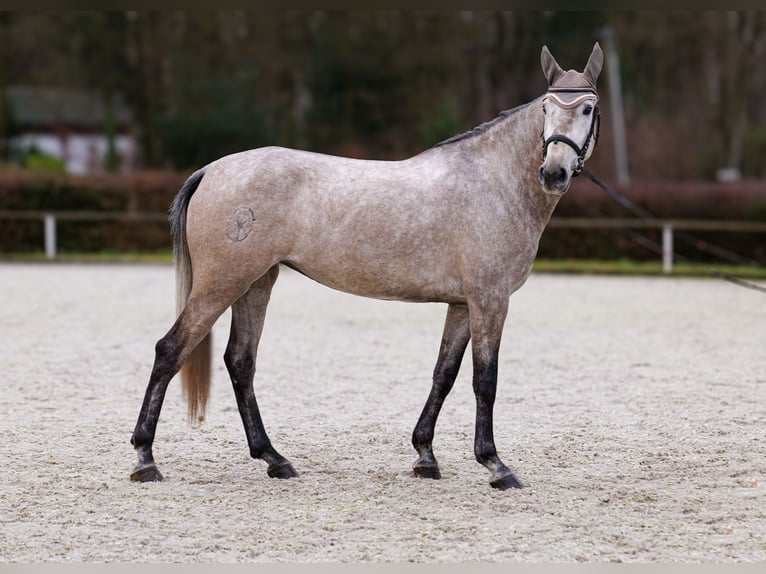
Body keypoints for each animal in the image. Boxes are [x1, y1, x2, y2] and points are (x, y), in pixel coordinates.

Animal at [132, 41, 608, 490]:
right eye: (547, 108)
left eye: (587, 108)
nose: (553, 173)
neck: (493, 182)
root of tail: (211, 171)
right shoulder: (490, 300)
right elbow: (484, 380)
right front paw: (495, 465)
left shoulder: (462, 304)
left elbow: (444, 374)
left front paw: (425, 457)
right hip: (223, 283)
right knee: (170, 350)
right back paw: (145, 459)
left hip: (256, 283)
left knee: (240, 362)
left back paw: (274, 459)